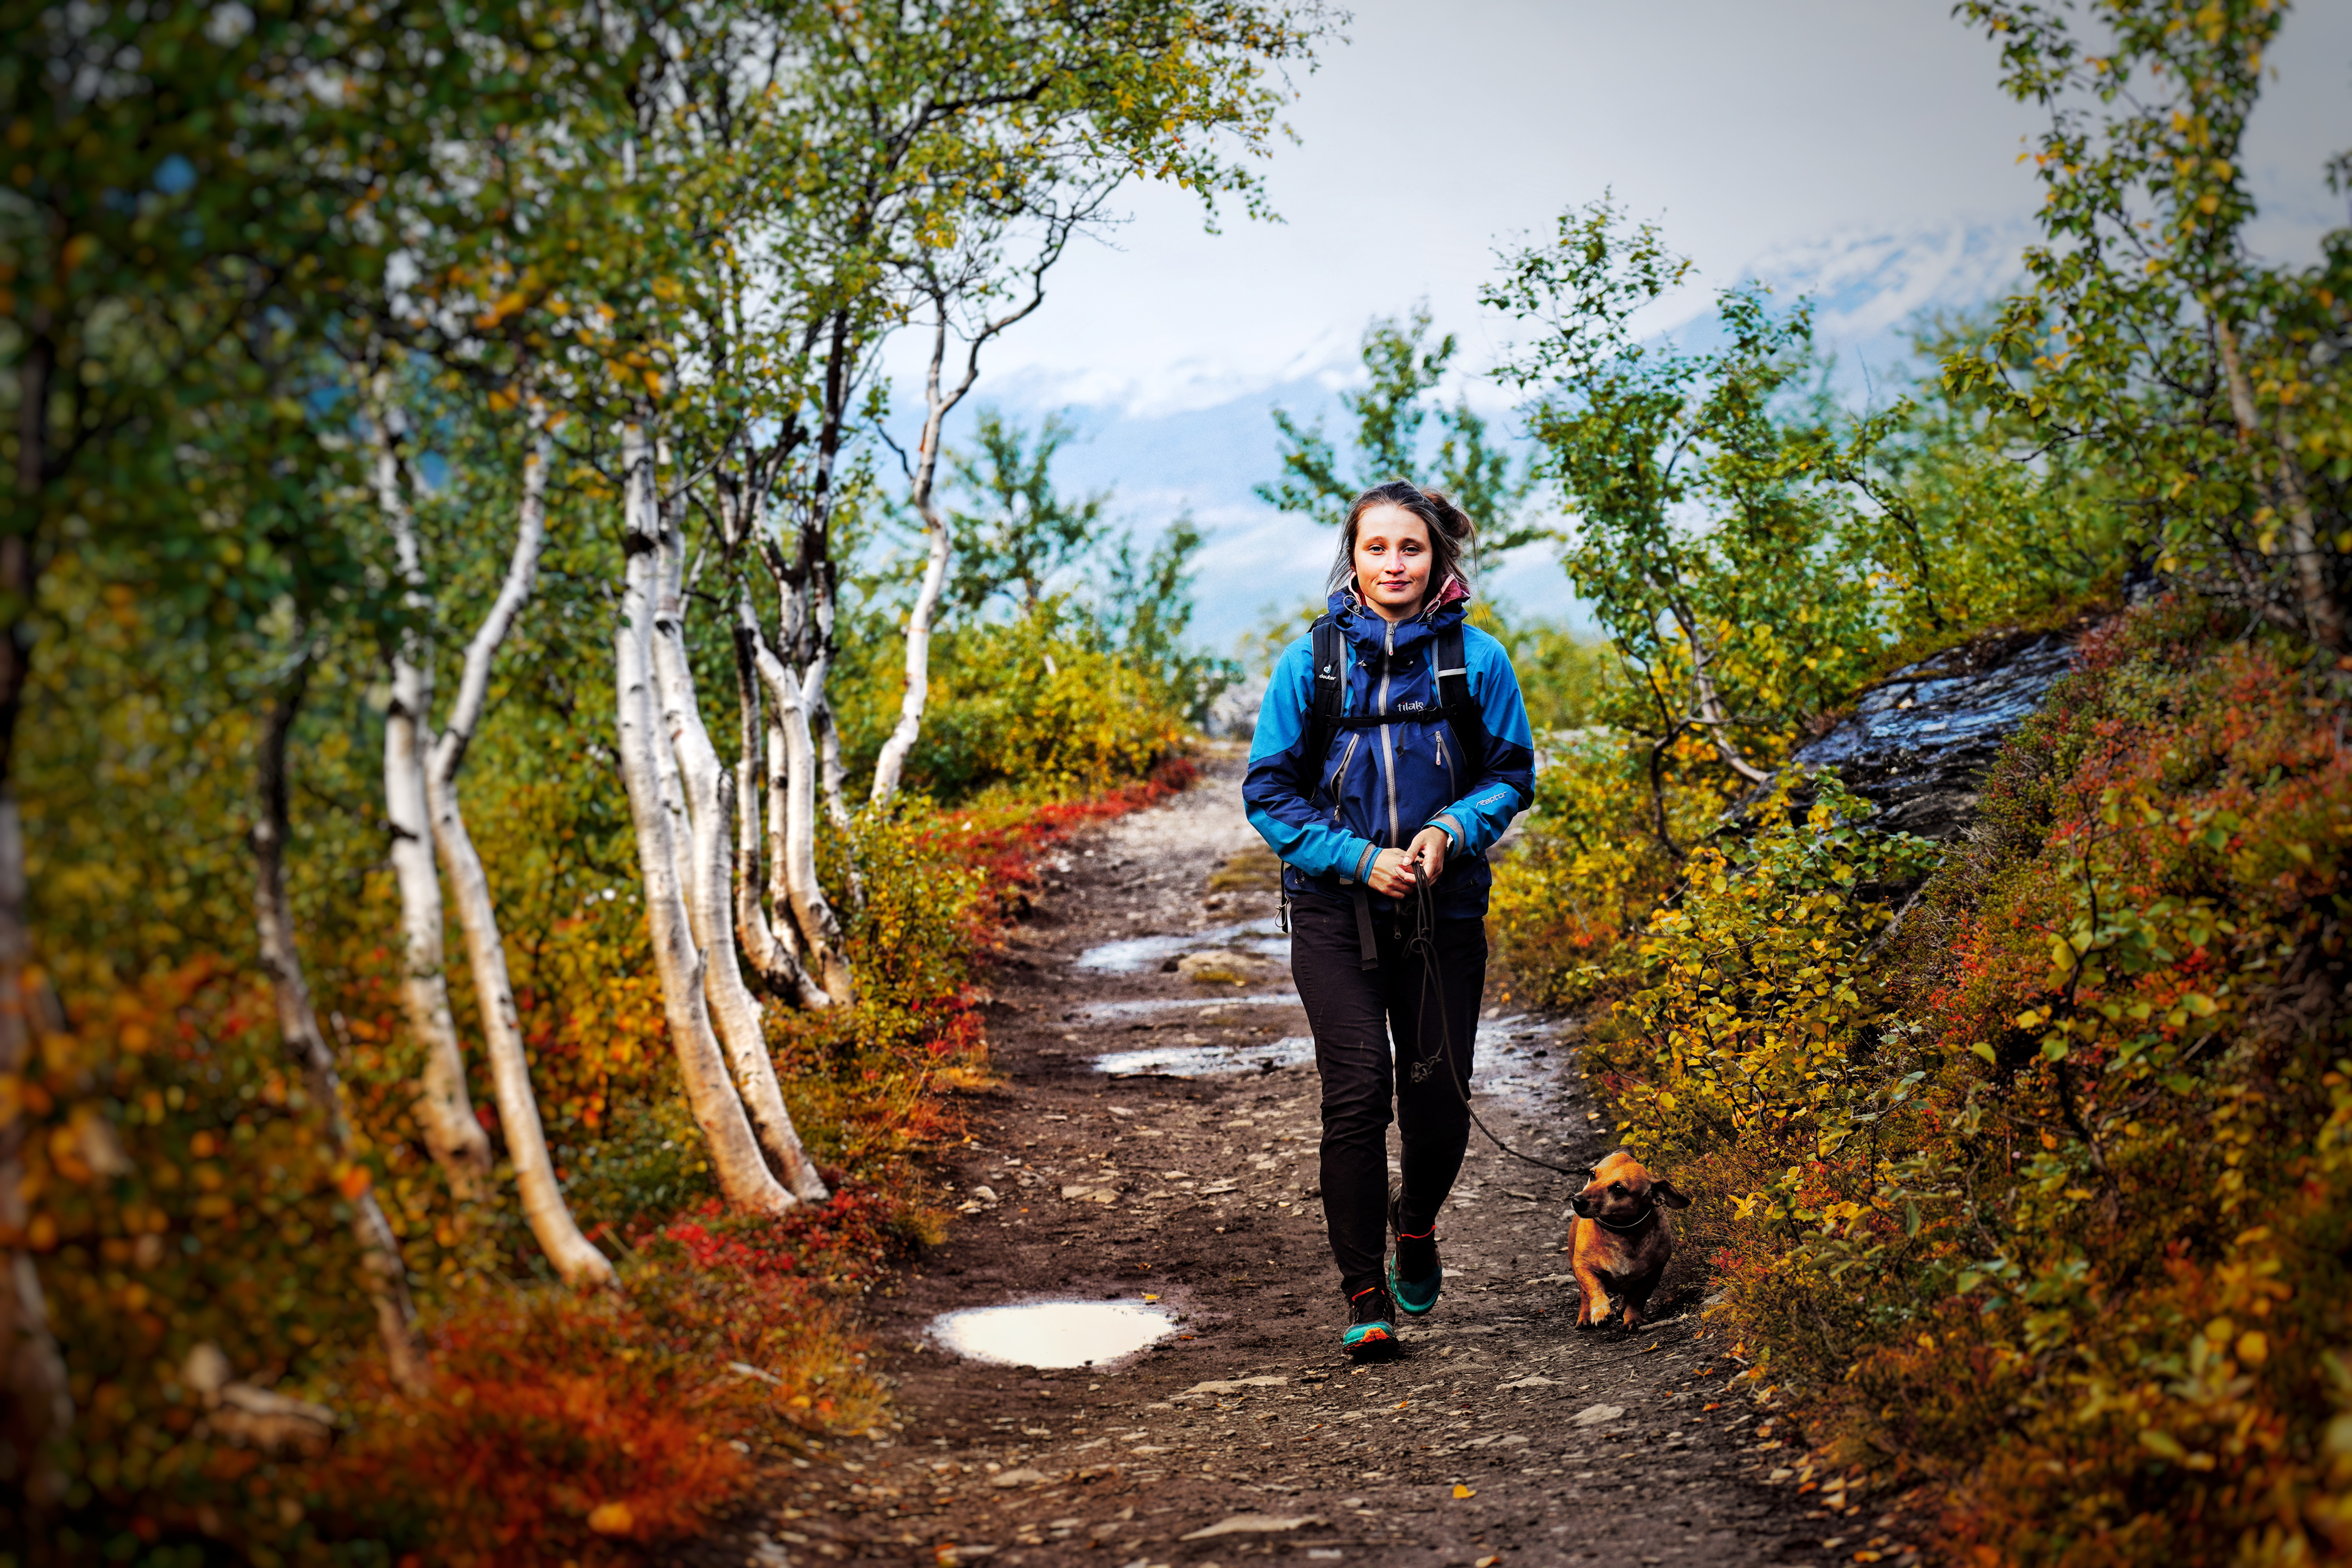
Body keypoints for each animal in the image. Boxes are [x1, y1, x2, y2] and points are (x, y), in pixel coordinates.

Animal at [1571, 1147, 1684, 1335]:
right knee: (1584, 1295)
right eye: (1592, 1175)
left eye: (1618, 1189)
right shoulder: (1583, 1267)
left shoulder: (1653, 1274)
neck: (1620, 1233)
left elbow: (1637, 1299)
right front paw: (1600, 1310)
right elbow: (1594, 1288)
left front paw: (1633, 1319)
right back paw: (1585, 1316)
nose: (1577, 1200)